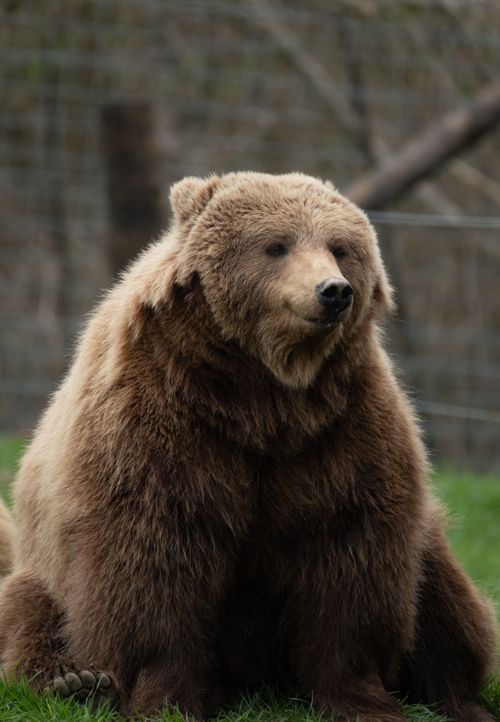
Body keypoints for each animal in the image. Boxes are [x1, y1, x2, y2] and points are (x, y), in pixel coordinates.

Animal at [0, 172, 495, 722]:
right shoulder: (158, 427)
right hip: (38, 566)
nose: (333, 291)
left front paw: (362, 700)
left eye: (340, 248)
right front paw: (162, 697)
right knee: (30, 612)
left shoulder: (339, 432)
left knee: (444, 598)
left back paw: (460, 699)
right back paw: (73, 680)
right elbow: (152, 564)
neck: (261, 394)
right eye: (276, 245)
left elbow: (349, 560)